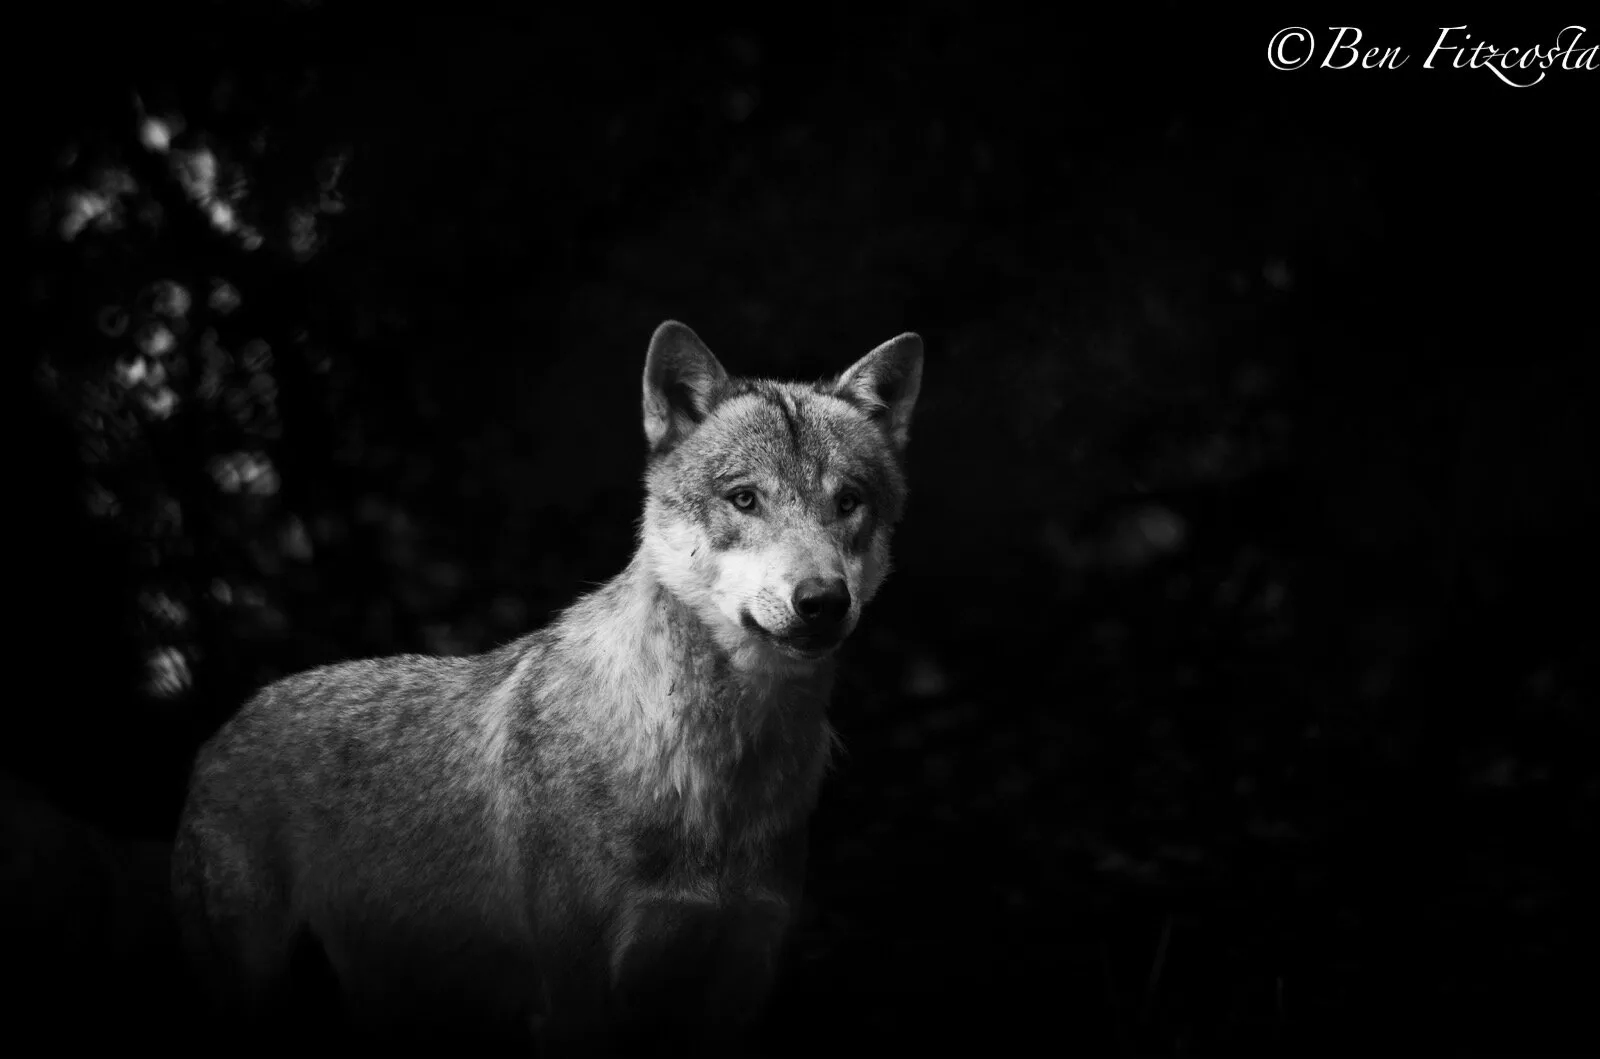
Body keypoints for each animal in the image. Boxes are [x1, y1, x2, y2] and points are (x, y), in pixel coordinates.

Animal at [171, 320, 923, 1053]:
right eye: (745, 498)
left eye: (848, 502)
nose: (822, 601)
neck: (719, 771)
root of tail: (226, 727)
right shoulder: (579, 1004)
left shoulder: (736, 995)